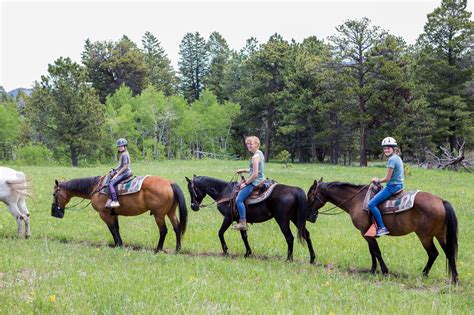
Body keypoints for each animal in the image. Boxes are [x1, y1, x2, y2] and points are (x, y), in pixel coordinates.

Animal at [50, 175, 187, 252]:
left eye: (54, 194)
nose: (53, 213)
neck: (95, 188)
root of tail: (170, 183)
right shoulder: (114, 214)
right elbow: (116, 228)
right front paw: (119, 244)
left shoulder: (104, 214)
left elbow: (112, 229)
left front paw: (118, 245)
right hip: (170, 212)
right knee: (177, 228)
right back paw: (178, 249)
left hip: (159, 215)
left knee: (163, 230)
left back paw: (158, 249)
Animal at [185, 175, 314, 264]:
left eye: (191, 190)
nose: (193, 206)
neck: (225, 192)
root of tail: (295, 190)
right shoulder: (240, 220)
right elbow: (244, 236)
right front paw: (247, 253)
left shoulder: (228, 218)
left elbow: (220, 233)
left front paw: (226, 251)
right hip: (295, 218)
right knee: (306, 234)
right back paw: (312, 259)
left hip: (282, 220)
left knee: (289, 237)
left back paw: (289, 259)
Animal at [308, 179, 460, 286]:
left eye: (310, 195)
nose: (310, 216)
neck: (356, 200)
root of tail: (441, 201)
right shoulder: (367, 234)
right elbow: (372, 251)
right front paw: (373, 270)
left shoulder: (365, 232)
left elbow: (376, 251)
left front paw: (385, 271)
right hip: (441, 235)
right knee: (449, 253)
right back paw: (455, 279)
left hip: (425, 236)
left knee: (433, 253)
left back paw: (424, 274)